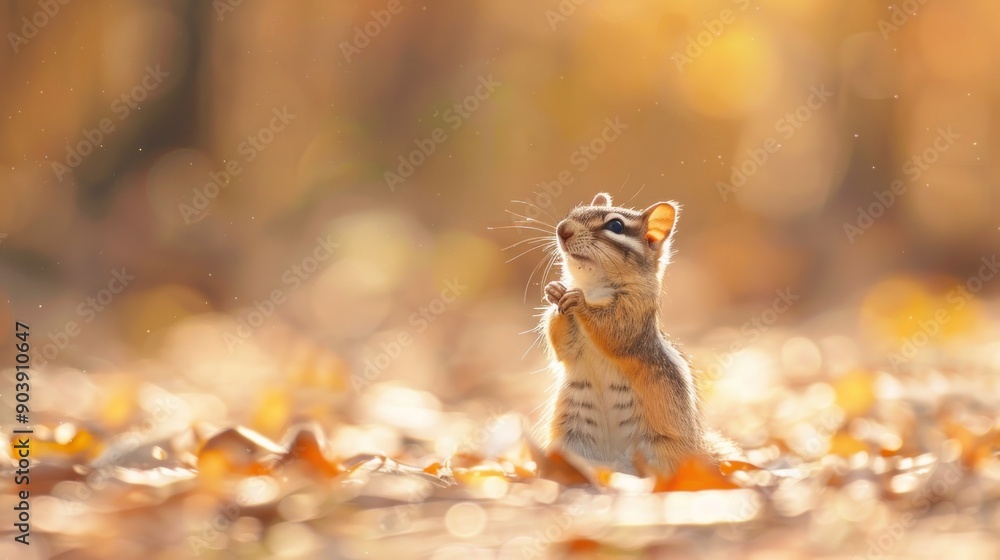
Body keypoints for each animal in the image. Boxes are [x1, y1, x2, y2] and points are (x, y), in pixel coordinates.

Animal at [539, 192, 737, 475]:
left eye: (616, 226)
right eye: (575, 211)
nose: (562, 230)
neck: (594, 287)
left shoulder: (633, 311)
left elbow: (612, 332)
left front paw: (579, 302)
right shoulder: (572, 345)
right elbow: (562, 347)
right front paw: (556, 291)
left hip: (659, 453)